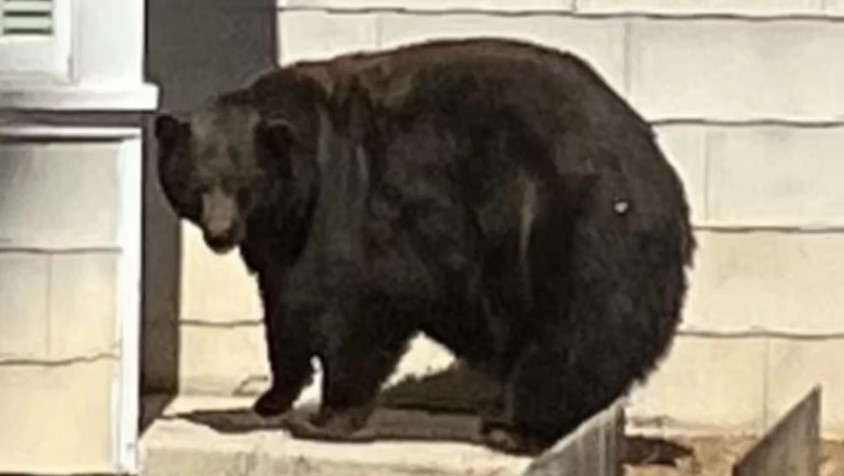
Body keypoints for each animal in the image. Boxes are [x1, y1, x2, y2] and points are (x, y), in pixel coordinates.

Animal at [155, 37, 696, 454]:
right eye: (196, 184)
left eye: (244, 184)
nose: (220, 233)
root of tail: (659, 171)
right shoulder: (281, 240)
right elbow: (285, 307)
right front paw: (271, 398)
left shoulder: (358, 203)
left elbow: (359, 303)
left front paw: (327, 417)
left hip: (574, 227)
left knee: (575, 331)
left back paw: (515, 427)